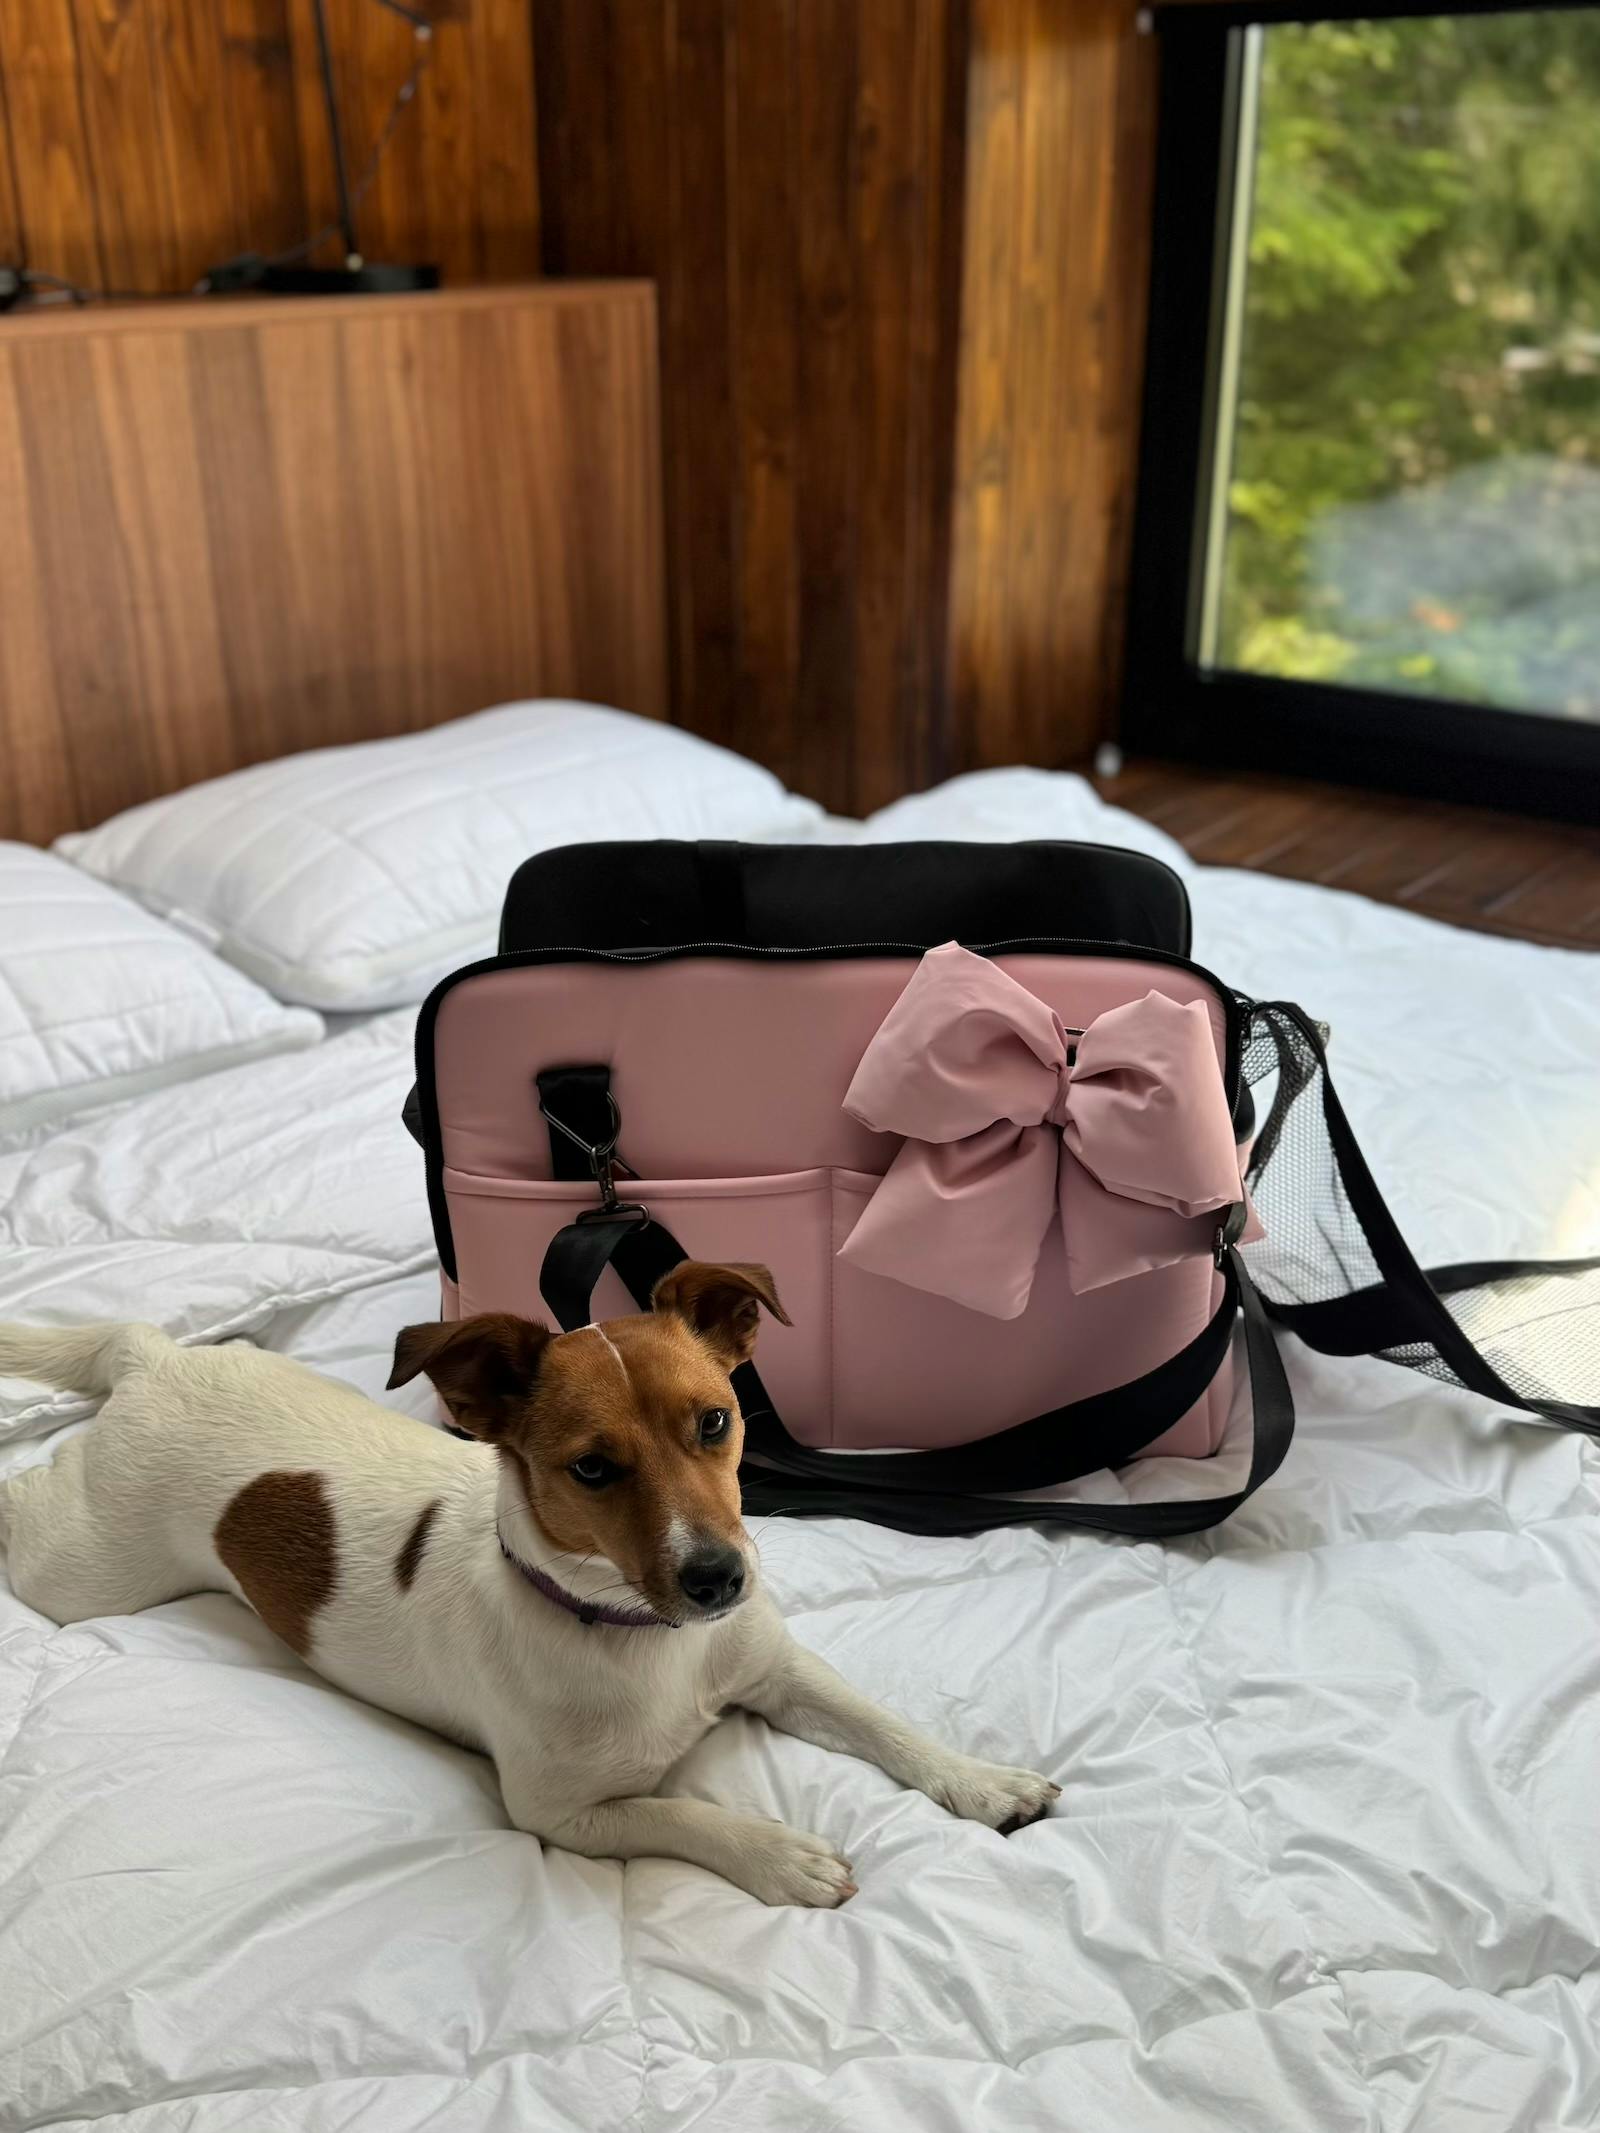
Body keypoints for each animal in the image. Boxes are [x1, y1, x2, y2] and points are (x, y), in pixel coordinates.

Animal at [0, 1262, 1058, 1906]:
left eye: (716, 1422)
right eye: (591, 1469)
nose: (720, 1579)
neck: (640, 1635)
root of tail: (152, 1362)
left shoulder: (777, 1670)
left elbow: (883, 1723)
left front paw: (983, 1780)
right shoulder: (563, 1815)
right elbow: (685, 1813)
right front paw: (780, 1855)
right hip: (78, 1564)